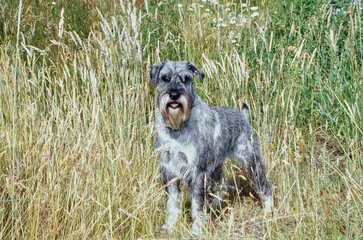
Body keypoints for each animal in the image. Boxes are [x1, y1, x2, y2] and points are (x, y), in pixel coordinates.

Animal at [149, 60, 272, 236]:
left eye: (186, 78)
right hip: (216, 166)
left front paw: (197, 230)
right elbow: (172, 202)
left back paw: (268, 210)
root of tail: (243, 116)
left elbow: (198, 204)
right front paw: (170, 227)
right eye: (164, 78)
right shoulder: (169, 170)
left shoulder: (199, 172)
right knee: (222, 186)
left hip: (251, 162)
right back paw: (214, 207)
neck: (177, 129)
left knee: (264, 185)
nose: (174, 95)